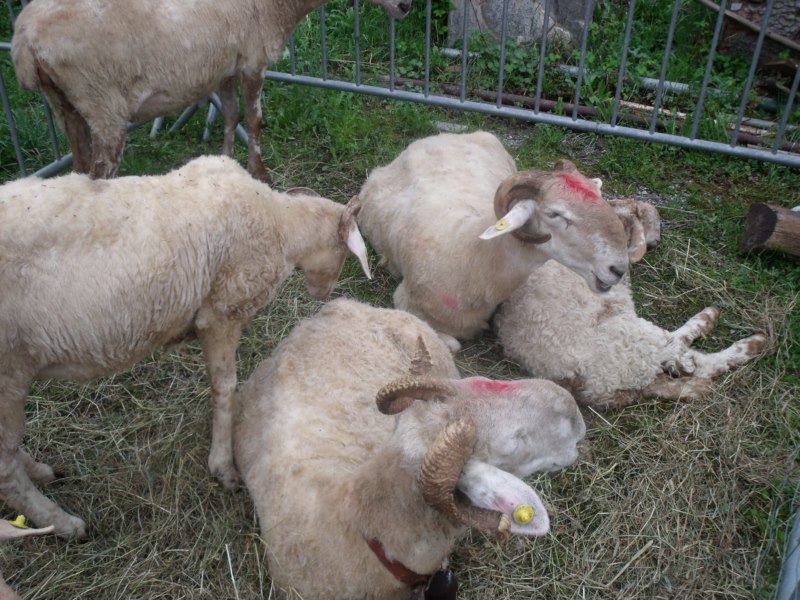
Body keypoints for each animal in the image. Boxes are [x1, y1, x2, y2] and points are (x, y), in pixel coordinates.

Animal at [0, 155, 374, 540]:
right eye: (344, 252)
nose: (324, 294)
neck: (279, 224)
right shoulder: (222, 312)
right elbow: (224, 388)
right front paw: (223, 466)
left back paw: (40, 471)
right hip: (8, 370)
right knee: (5, 470)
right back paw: (62, 522)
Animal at [10, 0, 412, 182]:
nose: (407, 5)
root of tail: (24, 41)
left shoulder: (225, 68)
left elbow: (231, 115)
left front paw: (227, 163)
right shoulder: (252, 60)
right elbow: (255, 121)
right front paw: (260, 173)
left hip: (63, 101)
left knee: (78, 168)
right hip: (102, 102)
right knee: (97, 176)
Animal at [356, 131, 636, 352]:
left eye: (600, 197)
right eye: (555, 214)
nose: (618, 269)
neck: (473, 255)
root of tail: (438, 136)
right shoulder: (403, 301)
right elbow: (453, 344)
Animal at [494, 199, 768, 410]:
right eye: (649, 221)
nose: (655, 242)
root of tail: (594, 388)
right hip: (634, 339)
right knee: (696, 360)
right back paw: (744, 337)